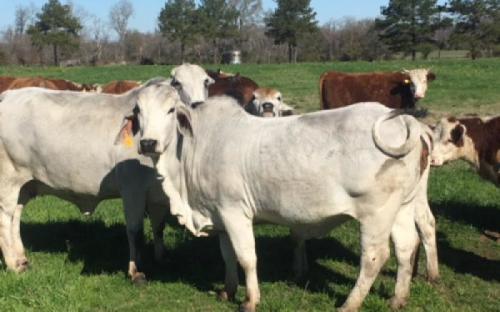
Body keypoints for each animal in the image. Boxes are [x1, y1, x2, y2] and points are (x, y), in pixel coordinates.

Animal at [0, 63, 213, 282]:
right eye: (177, 83)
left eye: (206, 82)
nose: (148, 143)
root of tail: (8, 96)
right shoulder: (132, 190)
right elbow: (135, 231)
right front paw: (135, 271)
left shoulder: (158, 195)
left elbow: (159, 227)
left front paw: (162, 258)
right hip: (7, 181)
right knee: (5, 220)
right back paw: (13, 264)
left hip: (24, 185)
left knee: (15, 217)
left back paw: (21, 258)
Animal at [134, 95, 434, 312]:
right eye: (138, 111)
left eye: (170, 111)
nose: (148, 143)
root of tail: (405, 121)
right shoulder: (218, 215)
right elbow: (228, 256)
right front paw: (228, 291)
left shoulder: (234, 212)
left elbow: (246, 257)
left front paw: (250, 300)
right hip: (403, 206)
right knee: (407, 246)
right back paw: (398, 299)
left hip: (376, 213)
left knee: (374, 257)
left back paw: (350, 304)